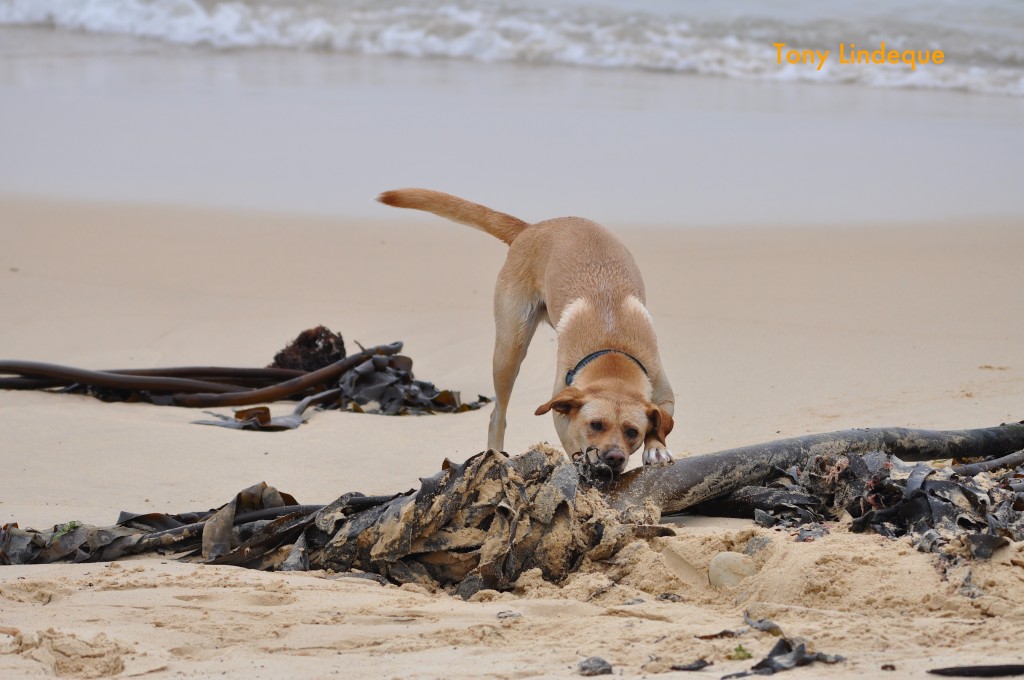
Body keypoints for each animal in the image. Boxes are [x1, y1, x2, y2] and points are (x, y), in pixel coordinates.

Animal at [376, 188, 671, 471]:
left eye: (632, 432)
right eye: (596, 425)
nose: (614, 458)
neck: (613, 353)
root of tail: (531, 228)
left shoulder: (661, 391)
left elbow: (660, 422)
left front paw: (656, 448)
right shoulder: (561, 408)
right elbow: (572, 441)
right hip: (509, 350)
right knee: (497, 415)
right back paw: (495, 455)